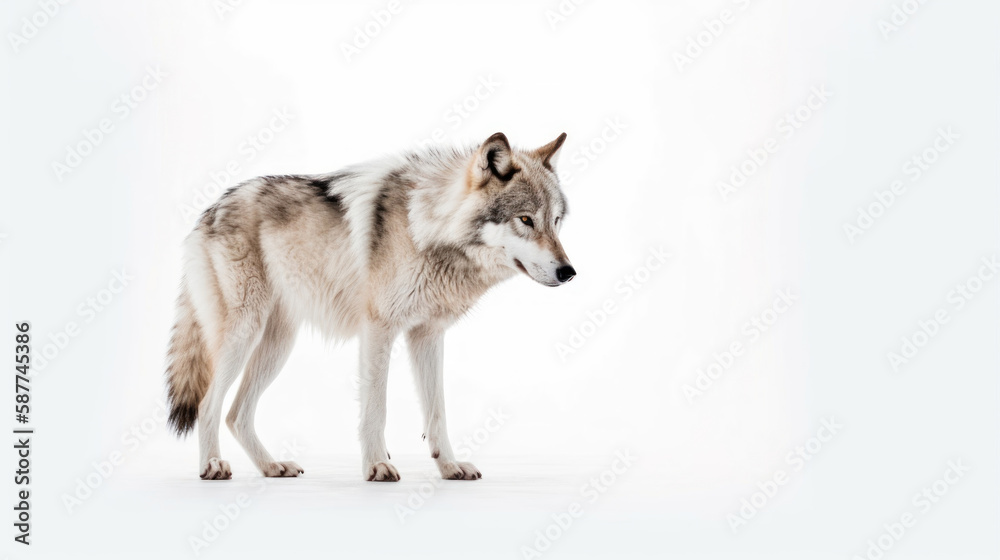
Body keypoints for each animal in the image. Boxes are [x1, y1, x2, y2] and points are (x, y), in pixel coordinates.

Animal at [165, 132, 575, 481]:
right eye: (525, 220)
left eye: (556, 222)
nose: (569, 272)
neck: (424, 226)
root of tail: (208, 211)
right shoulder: (379, 329)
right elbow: (377, 408)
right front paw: (377, 465)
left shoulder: (427, 335)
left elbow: (437, 411)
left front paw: (450, 466)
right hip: (244, 334)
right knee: (208, 405)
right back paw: (212, 465)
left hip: (277, 346)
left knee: (237, 414)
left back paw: (271, 466)